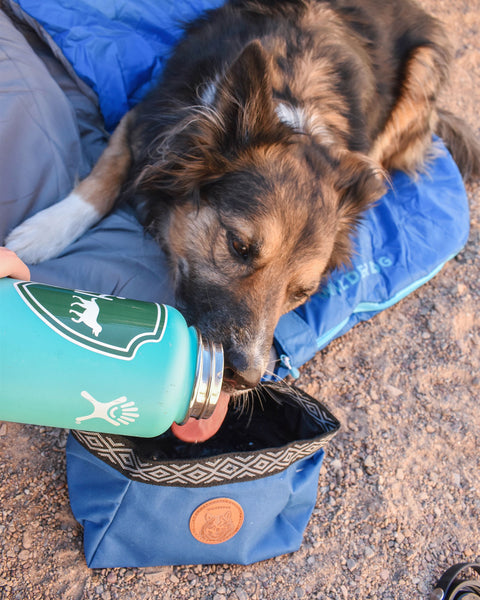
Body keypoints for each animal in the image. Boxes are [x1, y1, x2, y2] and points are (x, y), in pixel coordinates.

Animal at [5, 0, 478, 394]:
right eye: (238, 246)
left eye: (301, 293)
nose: (246, 377)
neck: (291, 109)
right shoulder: (150, 117)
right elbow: (107, 172)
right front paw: (44, 231)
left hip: (421, 71)